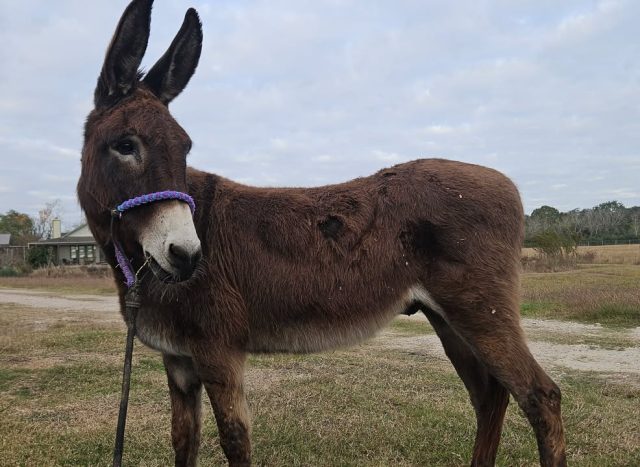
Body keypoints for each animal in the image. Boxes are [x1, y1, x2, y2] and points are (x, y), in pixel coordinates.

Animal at [77, 0, 566, 465]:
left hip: (482, 311)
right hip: (448, 319)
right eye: (125, 145)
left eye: (185, 148)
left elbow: (235, 441)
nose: (187, 255)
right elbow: (184, 442)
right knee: (489, 395)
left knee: (540, 396)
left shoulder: (218, 353)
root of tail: (507, 184)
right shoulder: (177, 362)